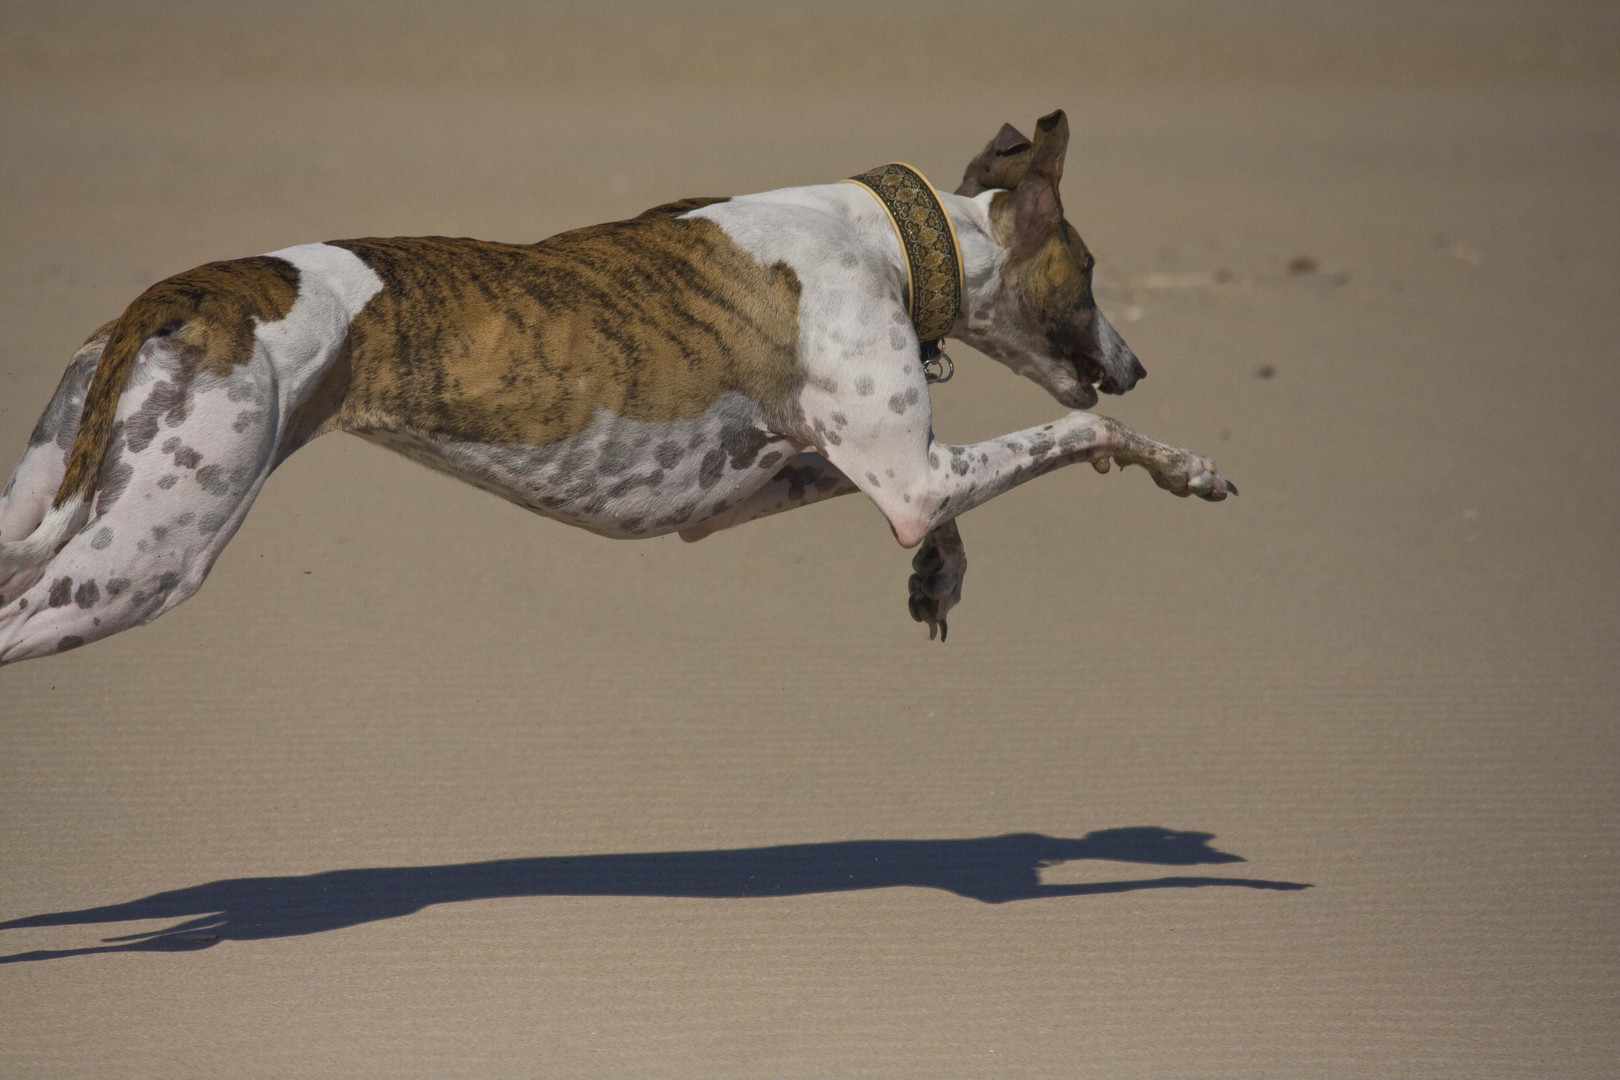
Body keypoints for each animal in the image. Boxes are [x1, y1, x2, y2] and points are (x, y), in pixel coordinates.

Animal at [0, 111, 1231, 667]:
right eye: (1092, 273)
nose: (1138, 362)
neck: (884, 232)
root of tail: (175, 294)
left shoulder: (775, 483)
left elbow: (939, 506)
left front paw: (939, 577)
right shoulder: (916, 474)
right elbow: (1082, 434)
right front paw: (1188, 464)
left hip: (59, 493)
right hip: (145, 556)